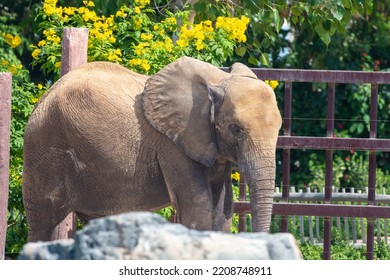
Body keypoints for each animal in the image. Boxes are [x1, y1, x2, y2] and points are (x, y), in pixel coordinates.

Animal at [22, 56, 280, 241]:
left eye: (279, 129)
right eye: (236, 129)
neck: (218, 80)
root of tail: (44, 97)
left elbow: (222, 210)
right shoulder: (173, 143)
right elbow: (197, 208)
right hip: (45, 148)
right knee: (42, 221)